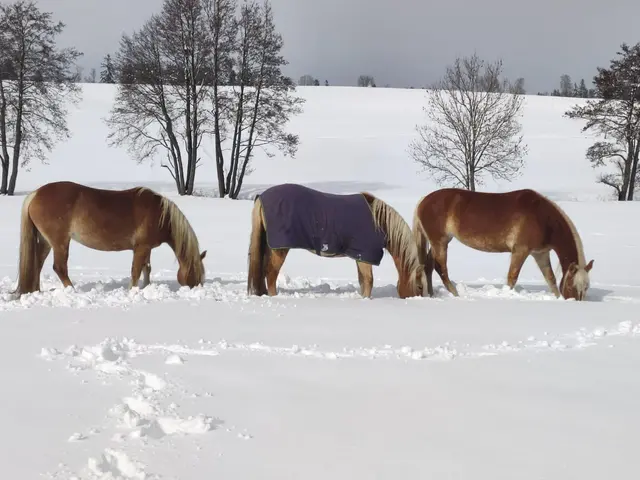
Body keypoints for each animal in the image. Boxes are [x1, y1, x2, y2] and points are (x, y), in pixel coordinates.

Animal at [14, 181, 207, 296]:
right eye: (196, 271)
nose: (196, 288)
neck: (160, 214)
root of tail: (35, 194)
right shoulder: (141, 247)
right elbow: (136, 270)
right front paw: (132, 291)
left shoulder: (146, 248)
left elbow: (147, 268)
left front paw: (145, 288)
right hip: (60, 242)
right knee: (59, 267)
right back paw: (72, 291)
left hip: (46, 242)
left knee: (37, 264)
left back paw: (35, 291)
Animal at [246, 183, 426, 299]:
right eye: (419, 286)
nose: (414, 299)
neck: (379, 223)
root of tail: (262, 197)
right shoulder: (365, 255)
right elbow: (369, 281)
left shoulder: (359, 256)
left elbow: (363, 281)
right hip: (280, 248)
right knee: (271, 273)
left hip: (270, 246)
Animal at [412, 188, 594, 301]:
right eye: (572, 285)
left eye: (586, 287)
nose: (575, 302)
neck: (543, 218)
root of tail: (423, 200)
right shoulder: (520, 250)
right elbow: (512, 277)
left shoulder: (540, 253)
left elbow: (550, 279)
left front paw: (557, 298)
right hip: (440, 242)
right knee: (440, 268)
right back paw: (456, 294)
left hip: (436, 243)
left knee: (428, 266)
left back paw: (432, 294)